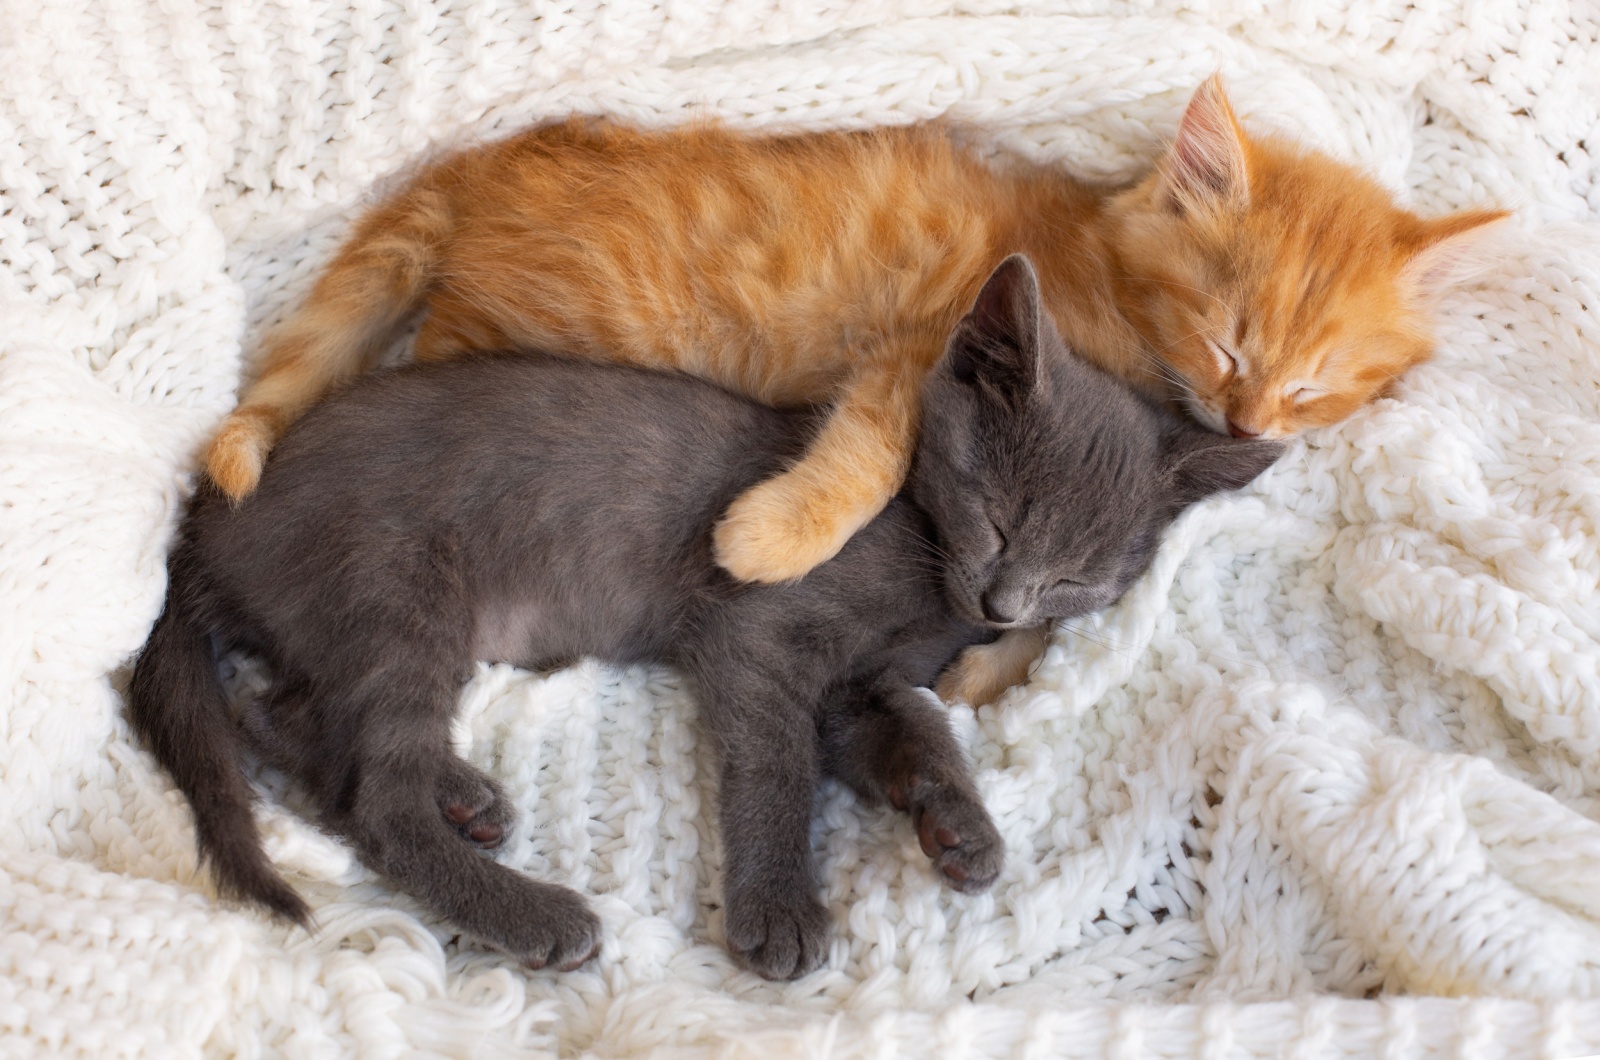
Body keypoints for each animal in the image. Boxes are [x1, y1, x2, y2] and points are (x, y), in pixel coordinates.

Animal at [131, 256, 1280, 979]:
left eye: (1079, 579)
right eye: (998, 520)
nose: (1004, 606)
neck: (928, 570)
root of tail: (204, 526)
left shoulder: (860, 685)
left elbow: (917, 723)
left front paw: (957, 824)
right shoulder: (759, 636)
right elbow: (776, 763)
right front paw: (778, 909)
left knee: (290, 723)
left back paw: (465, 796)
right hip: (398, 585)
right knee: (374, 797)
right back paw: (530, 907)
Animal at [206, 76, 1504, 704]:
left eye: (1313, 389)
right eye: (1231, 346)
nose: (1244, 418)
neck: (1101, 274)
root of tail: (482, 163)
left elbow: (1054, 607)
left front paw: (990, 667)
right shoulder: (922, 345)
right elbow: (868, 457)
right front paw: (772, 538)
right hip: (504, 325)